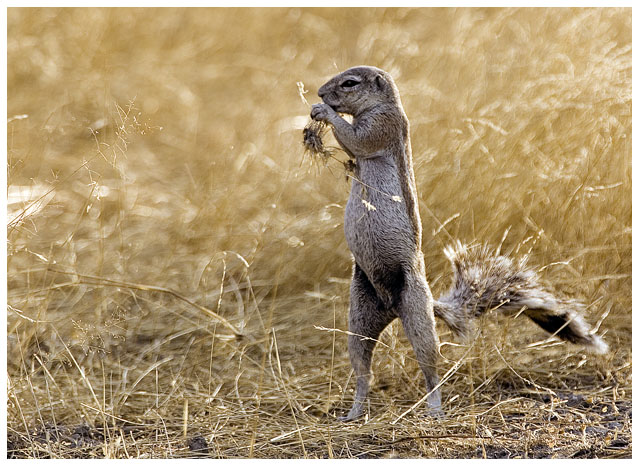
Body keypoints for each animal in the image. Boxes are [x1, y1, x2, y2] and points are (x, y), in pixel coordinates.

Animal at [310, 65, 608, 420]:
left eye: (349, 83)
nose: (319, 93)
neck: (383, 104)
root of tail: (393, 308)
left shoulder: (383, 125)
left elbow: (357, 140)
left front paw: (323, 113)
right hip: (359, 318)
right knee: (363, 370)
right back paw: (354, 411)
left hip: (417, 316)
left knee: (430, 368)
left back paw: (434, 408)